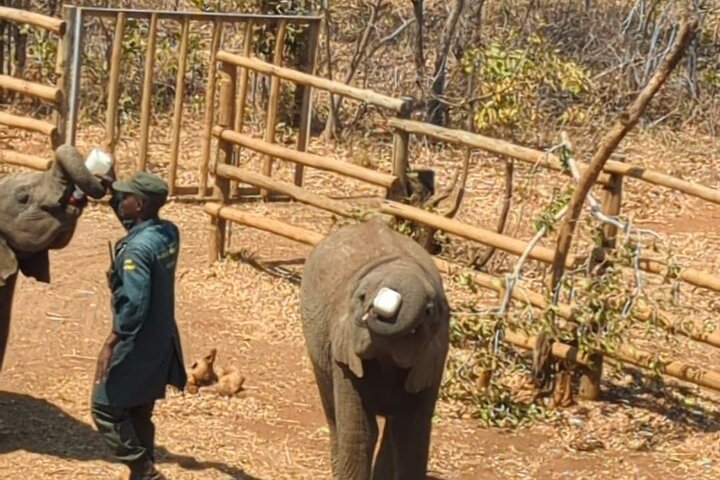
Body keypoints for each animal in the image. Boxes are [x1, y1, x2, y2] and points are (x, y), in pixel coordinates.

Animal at [299, 217, 450, 480]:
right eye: (361, 297)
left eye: (429, 311)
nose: (376, 310)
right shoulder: (343, 354)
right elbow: (362, 433)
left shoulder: (434, 360)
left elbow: (411, 436)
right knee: (334, 416)